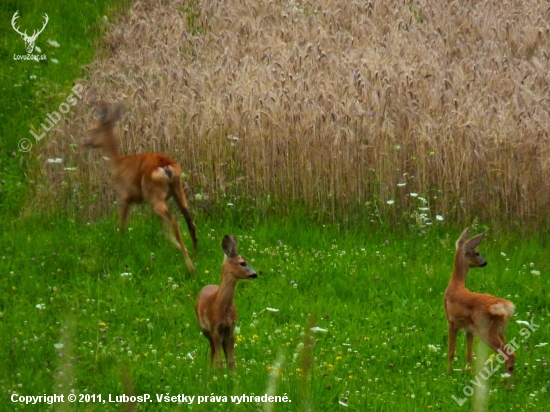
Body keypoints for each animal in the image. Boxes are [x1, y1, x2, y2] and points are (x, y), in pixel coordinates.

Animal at [84, 101, 198, 274]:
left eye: (94, 129)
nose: (85, 143)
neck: (117, 163)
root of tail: (166, 167)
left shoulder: (124, 196)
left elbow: (122, 226)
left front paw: (118, 249)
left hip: (154, 196)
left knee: (174, 221)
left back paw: (190, 266)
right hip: (177, 190)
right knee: (188, 220)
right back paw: (195, 253)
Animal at [196, 235, 258, 370]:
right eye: (242, 263)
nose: (255, 274)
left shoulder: (231, 329)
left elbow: (231, 361)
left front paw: (232, 374)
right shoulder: (215, 329)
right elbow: (219, 361)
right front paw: (219, 373)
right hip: (205, 330)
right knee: (212, 349)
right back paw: (209, 370)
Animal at [444, 229, 516, 376]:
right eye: (477, 253)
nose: (485, 262)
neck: (455, 284)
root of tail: (506, 307)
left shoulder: (451, 321)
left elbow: (451, 352)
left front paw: (448, 373)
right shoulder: (470, 329)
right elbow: (469, 355)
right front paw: (468, 373)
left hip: (486, 329)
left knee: (509, 354)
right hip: (500, 330)